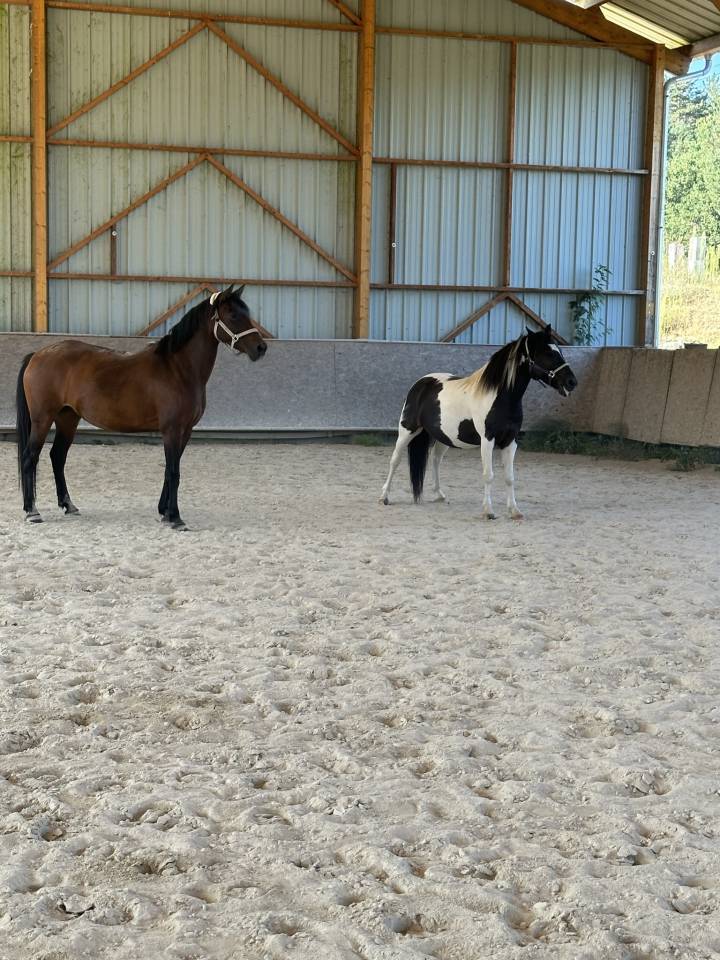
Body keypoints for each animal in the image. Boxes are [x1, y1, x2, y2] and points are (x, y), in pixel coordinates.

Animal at [16, 284, 266, 529]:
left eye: (247, 313)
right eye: (233, 315)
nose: (261, 348)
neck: (178, 369)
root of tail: (37, 355)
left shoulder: (185, 431)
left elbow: (169, 469)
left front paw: (164, 512)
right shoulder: (172, 430)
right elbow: (174, 471)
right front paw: (175, 518)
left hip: (68, 418)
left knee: (57, 457)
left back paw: (68, 505)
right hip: (42, 419)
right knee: (30, 457)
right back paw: (32, 511)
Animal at [380, 325, 577, 519]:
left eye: (558, 351)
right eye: (547, 353)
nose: (572, 382)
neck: (499, 398)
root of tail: (421, 383)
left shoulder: (510, 441)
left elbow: (510, 477)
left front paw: (514, 511)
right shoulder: (487, 440)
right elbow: (488, 475)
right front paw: (488, 511)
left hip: (444, 437)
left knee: (435, 460)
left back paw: (439, 494)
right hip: (407, 430)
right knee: (395, 460)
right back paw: (384, 496)